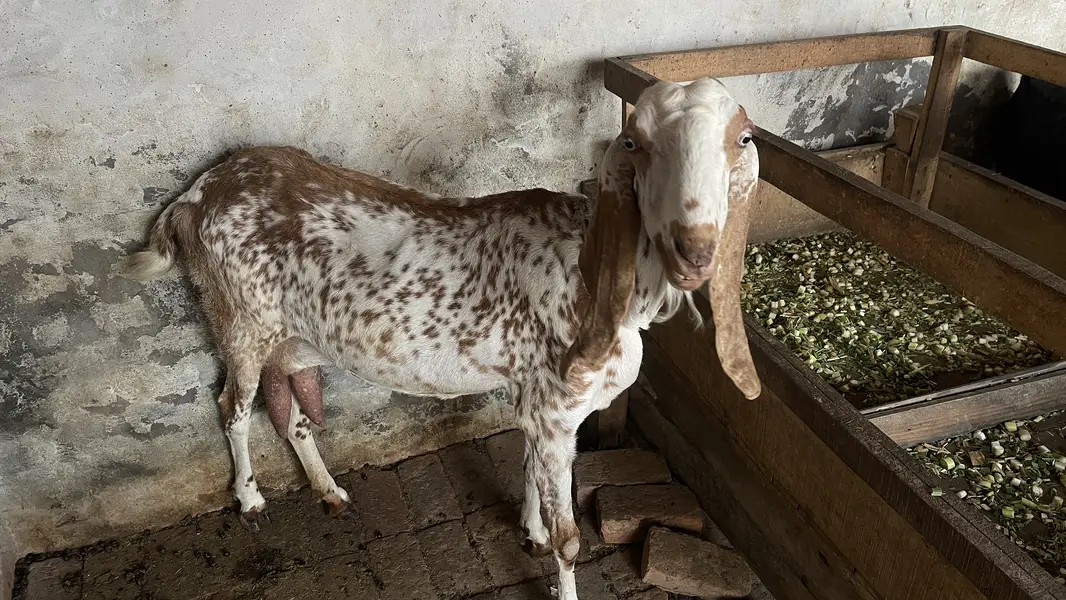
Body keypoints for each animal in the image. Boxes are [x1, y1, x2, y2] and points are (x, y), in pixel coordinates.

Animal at [118, 77, 761, 600]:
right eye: (635, 142)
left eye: (743, 139)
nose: (695, 248)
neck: (598, 281)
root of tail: (194, 196)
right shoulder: (556, 409)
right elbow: (570, 537)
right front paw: (550, 551)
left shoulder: (531, 398)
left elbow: (528, 466)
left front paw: (528, 530)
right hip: (240, 323)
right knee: (231, 405)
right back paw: (250, 501)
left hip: (291, 340)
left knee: (293, 416)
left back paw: (330, 492)